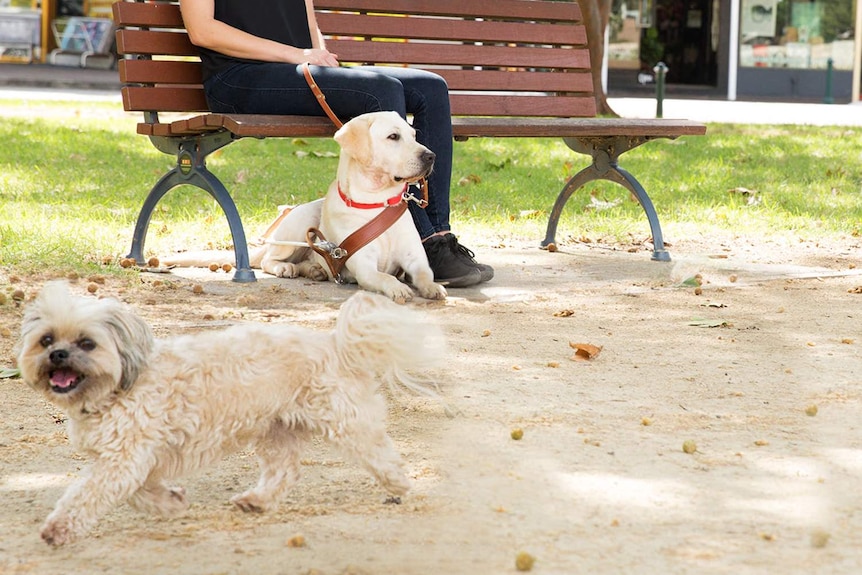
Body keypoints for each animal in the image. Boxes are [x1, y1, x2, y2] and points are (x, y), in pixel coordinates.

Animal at [16, 284, 442, 548]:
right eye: (46, 339)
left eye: (87, 343)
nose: (57, 355)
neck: (120, 385)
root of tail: (335, 343)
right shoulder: (129, 461)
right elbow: (138, 493)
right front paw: (171, 503)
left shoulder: (123, 459)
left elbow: (84, 495)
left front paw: (59, 529)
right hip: (276, 432)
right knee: (285, 471)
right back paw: (257, 501)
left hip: (345, 421)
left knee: (378, 450)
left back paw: (398, 484)